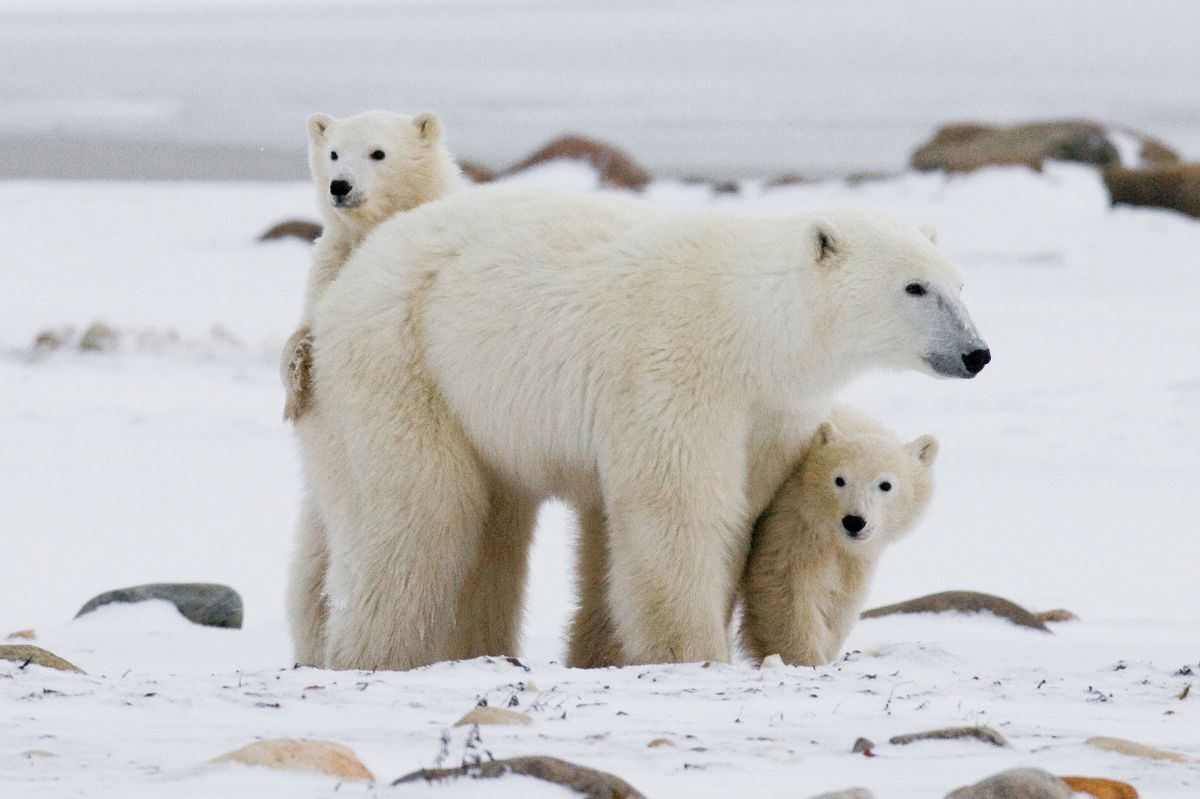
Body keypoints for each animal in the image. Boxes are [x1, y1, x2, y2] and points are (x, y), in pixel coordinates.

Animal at [739, 407, 936, 662]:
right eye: (839, 479)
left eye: (885, 484)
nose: (854, 521)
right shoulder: (792, 523)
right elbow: (786, 588)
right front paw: (806, 659)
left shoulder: (855, 555)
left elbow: (841, 598)